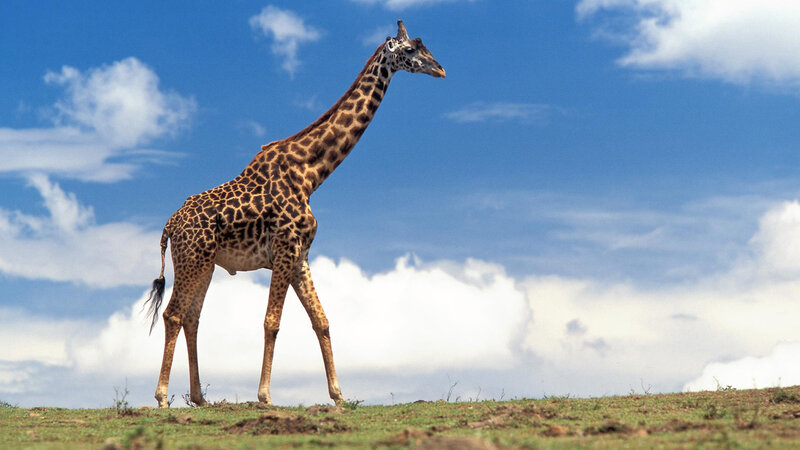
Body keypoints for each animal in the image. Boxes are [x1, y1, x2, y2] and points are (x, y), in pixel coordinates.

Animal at [143, 20, 445, 408]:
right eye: (410, 50)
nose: (440, 69)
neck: (312, 174)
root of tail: (169, 225)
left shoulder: (300, 255)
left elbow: (322, 320)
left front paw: (338, 395)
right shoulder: (285, 249)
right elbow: (272, 321)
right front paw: (264, 396)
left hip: (205, 263)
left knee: (192, 317)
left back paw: (199, 398)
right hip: (192, 259)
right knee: (173, 314)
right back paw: (162, 398)